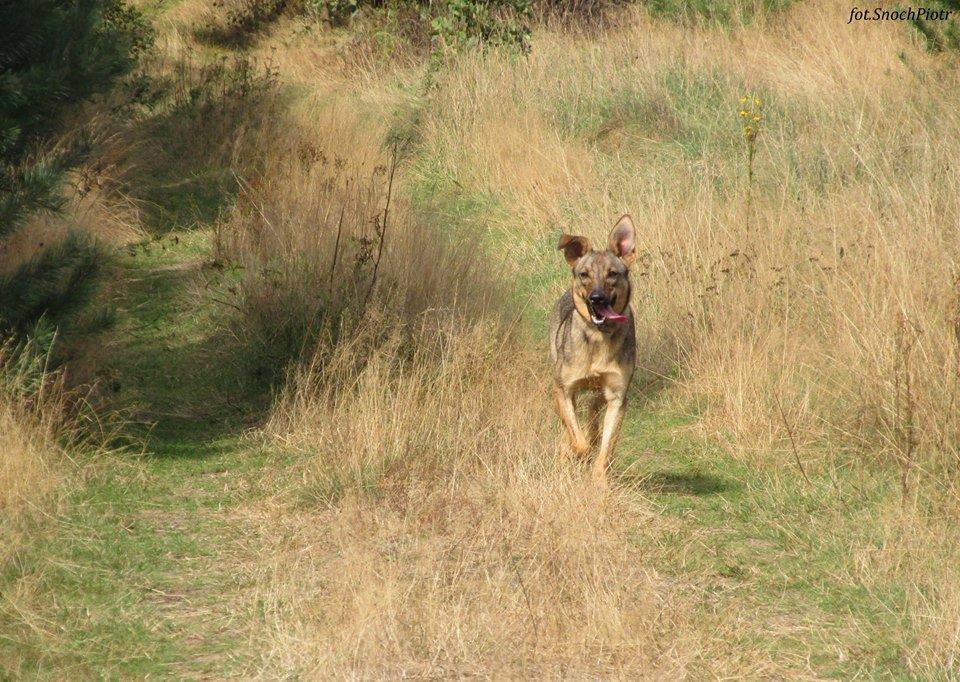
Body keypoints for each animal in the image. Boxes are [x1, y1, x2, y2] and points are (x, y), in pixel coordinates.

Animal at [549, 215, 637, 488]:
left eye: (612, 274)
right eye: (584, 274)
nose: (596, 298)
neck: (599, 338)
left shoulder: (618, 396)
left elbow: (605, 447)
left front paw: (600, 479)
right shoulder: (564, 389)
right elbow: (576, 438)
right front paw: (574, 451)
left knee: (593, 410)